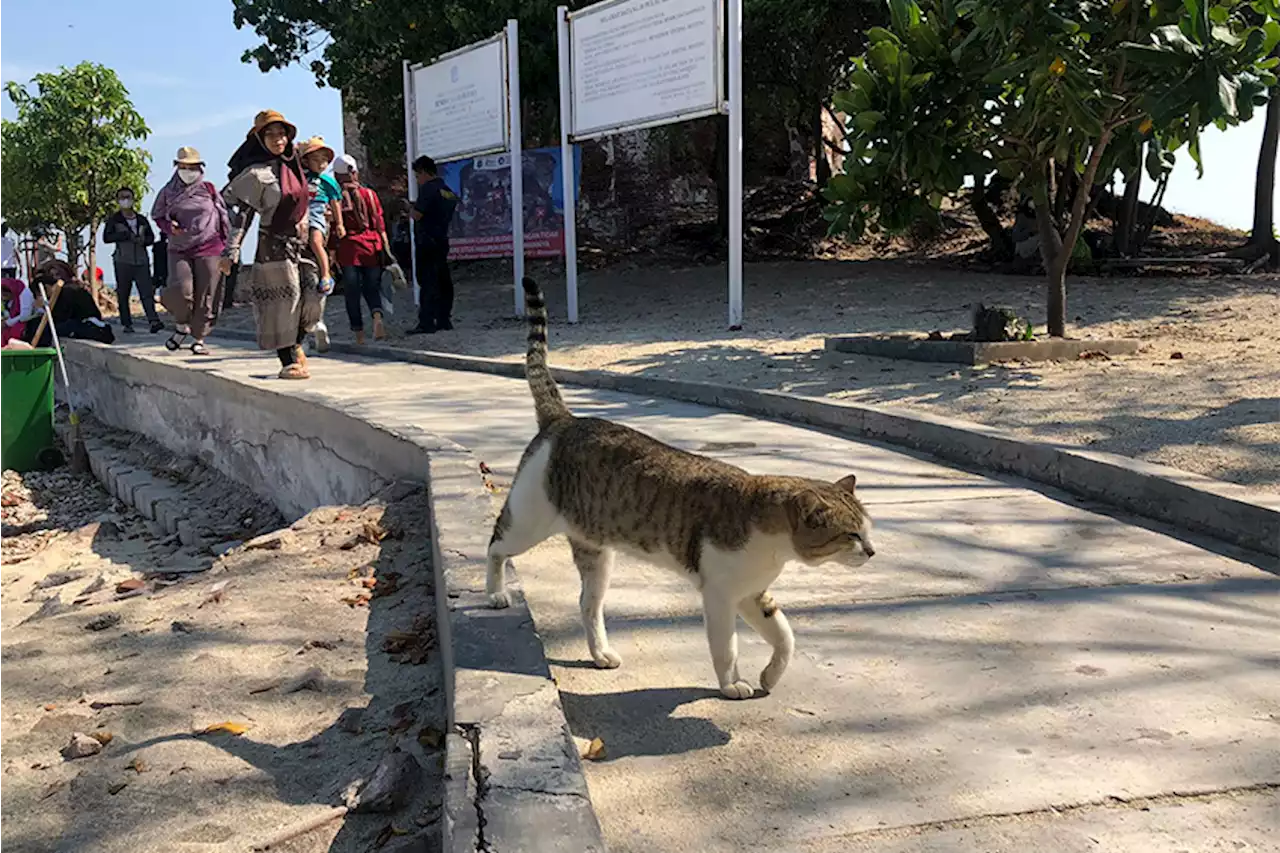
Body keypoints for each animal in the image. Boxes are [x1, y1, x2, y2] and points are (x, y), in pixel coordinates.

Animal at [483, 279, 875, 696]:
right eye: (851, 534)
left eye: (867, 531)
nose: (872, 551)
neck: (773, 542)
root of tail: (564, 419)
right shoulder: (720, 594)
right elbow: (726, 646)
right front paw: (731, 684)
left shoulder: (751, 594)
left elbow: (785, 637)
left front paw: (771, 675)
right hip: (530, 520)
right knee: (496, 544)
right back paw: (495, 592)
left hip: (595, 551)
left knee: (587, 603)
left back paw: (600, 652)